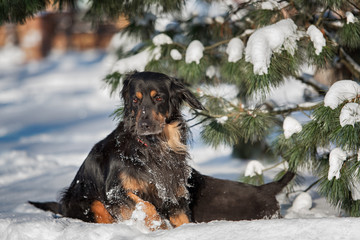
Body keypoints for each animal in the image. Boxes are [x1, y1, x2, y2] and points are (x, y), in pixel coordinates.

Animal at [29, 71, 294, 229]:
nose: (144, 124)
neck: (152, 148)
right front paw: (157, 224)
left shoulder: (175, 194)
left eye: (158, 98)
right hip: (86, 200)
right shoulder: (115, 191)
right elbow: (145, 205)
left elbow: (182, 219)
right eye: (135, 100)